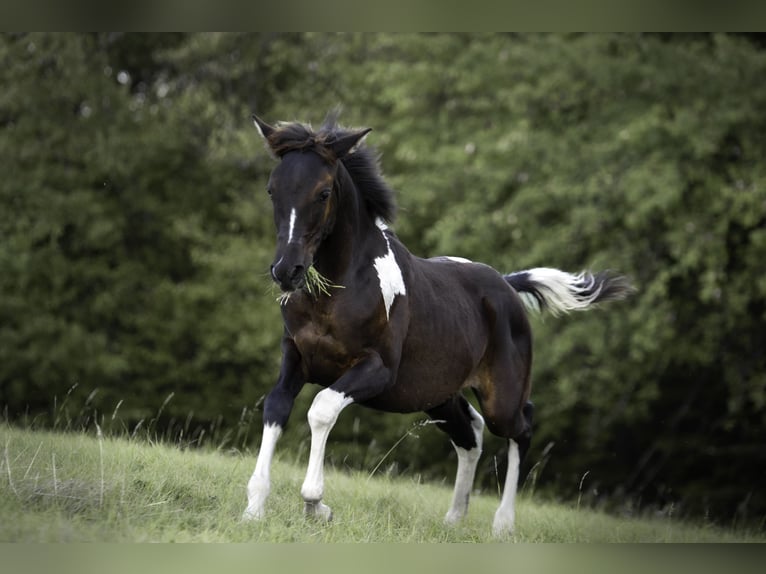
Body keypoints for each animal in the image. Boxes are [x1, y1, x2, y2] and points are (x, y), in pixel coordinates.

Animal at [242, 112, 632, 536]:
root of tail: (507, 286)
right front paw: (254, 509)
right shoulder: (296, 358)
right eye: (272, 190)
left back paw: (503, 524)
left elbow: (321, 409)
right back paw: (453, 518)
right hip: (439, 396)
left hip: (500, 399)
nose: (287, 271)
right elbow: (276, 406)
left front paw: (318, 506)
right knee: (471, 433)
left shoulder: (377, 370)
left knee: (521, 427)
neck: (339, 288)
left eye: (324, 192)